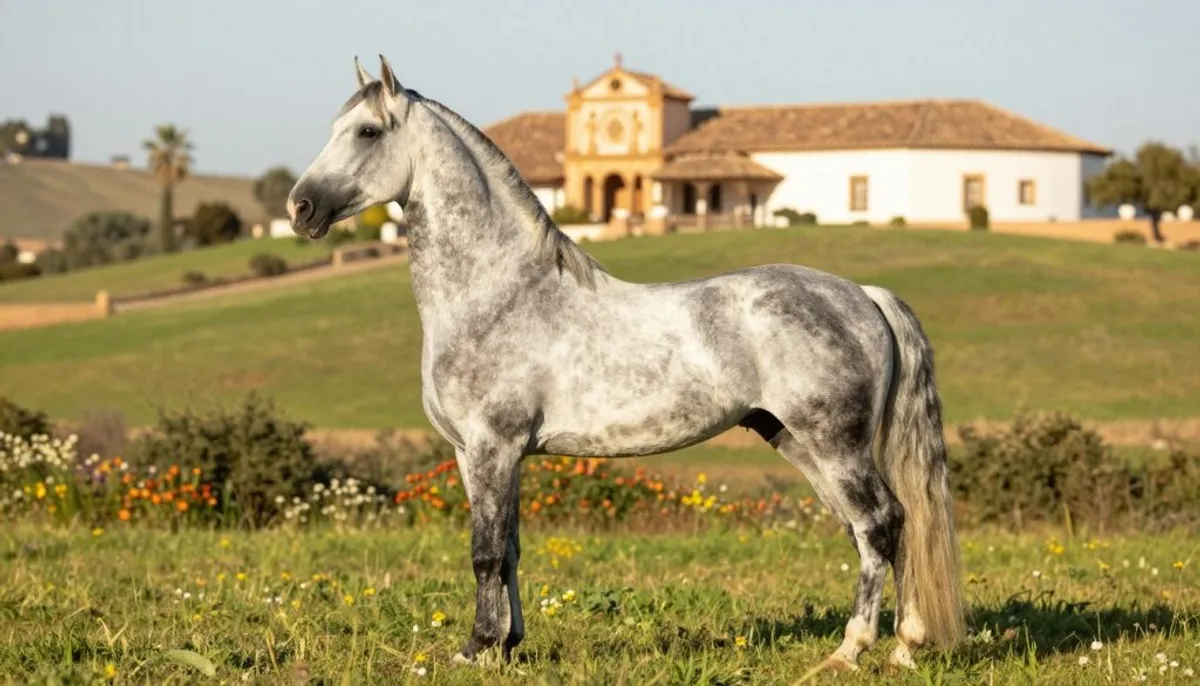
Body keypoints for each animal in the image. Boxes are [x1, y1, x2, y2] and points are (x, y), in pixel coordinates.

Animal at [287, 55, 965, 678]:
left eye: (367, 132)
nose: (301, 208)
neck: (497, 291)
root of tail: (863, 295)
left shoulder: (491, 447)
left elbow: (484, 552)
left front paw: (475, 650)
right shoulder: (480, 453)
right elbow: (509, 549)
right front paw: (508, 645)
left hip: (834, 444)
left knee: (881, 523)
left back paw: (858, 650)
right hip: (797, 442)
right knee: (878, 527)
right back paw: (904, 646)